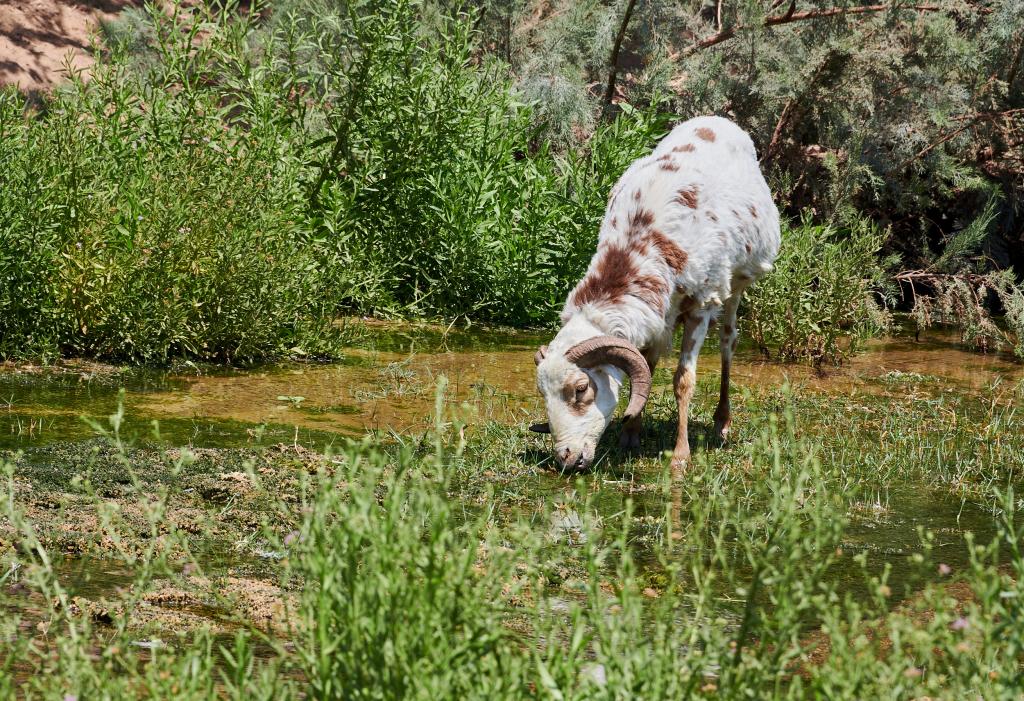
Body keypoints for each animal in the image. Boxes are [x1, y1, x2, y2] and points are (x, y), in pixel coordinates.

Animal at [532, 116, 778, 470]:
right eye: (542, 393)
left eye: (580, 389)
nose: (566, 458)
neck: (641, 240)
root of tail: (716, 120)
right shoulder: (655, 316)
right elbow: (646, 370)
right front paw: (630, 437)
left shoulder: (702, 304)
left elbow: (683, 381)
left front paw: (680, 455)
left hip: (736, 284)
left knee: (728, 341)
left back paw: (721, 423)